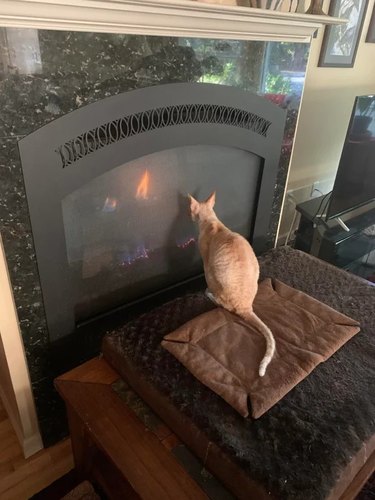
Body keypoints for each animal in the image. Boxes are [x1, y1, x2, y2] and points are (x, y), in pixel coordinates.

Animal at [189, 191, 274, 376]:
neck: (212, 221)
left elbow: (206, 272)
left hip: (218, 280)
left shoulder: (206, 263)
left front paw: (206, 290)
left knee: (221, 303)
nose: (190, 217)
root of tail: (246, 306)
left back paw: (209, 294)